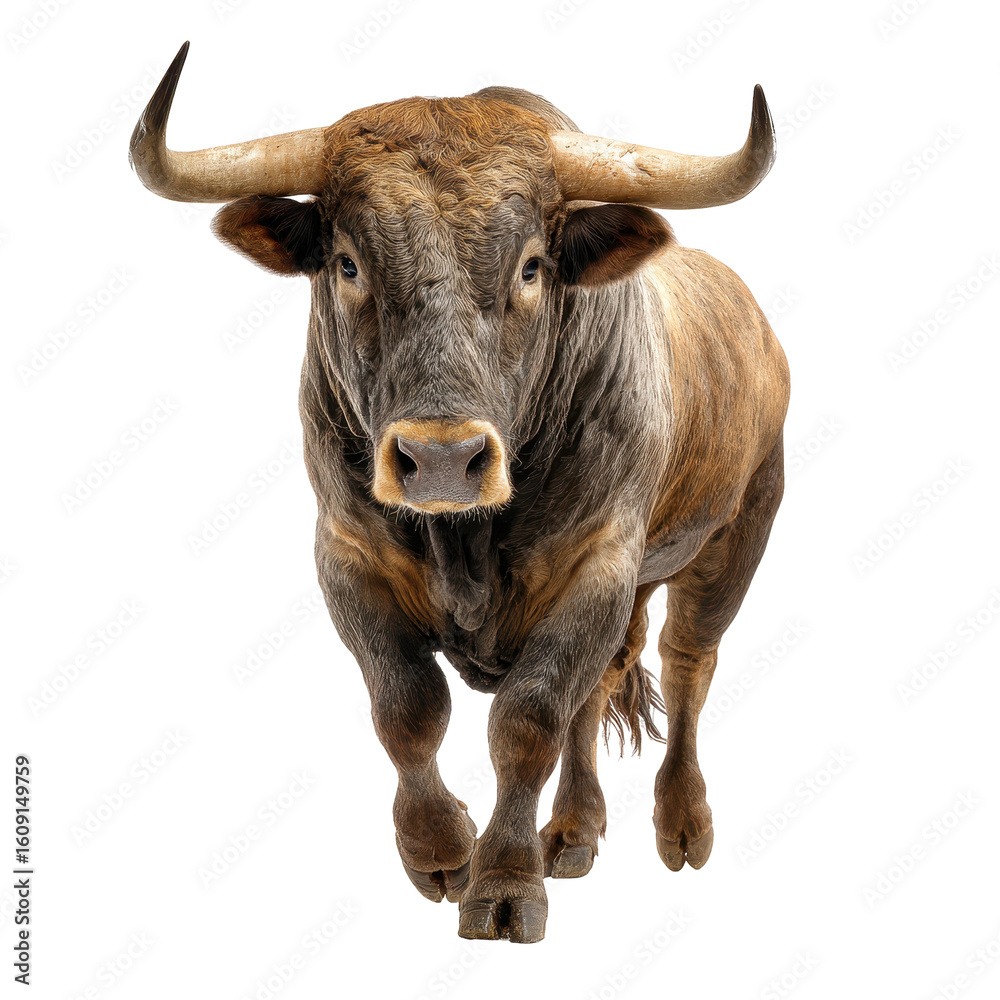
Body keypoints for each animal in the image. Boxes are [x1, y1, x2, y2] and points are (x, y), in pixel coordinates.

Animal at [130, 42, 789, 943]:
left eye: (533, 266)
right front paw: (441, 850)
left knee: (688, 664)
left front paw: (505, 884)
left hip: (737, 534)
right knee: (601, 689)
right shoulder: (346, 556)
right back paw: (572, 833)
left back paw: (681, 824)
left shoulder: (597, 567)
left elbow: (528, 720)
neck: (465, 538)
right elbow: (409, 707)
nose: (442, 460)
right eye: (347, 262)